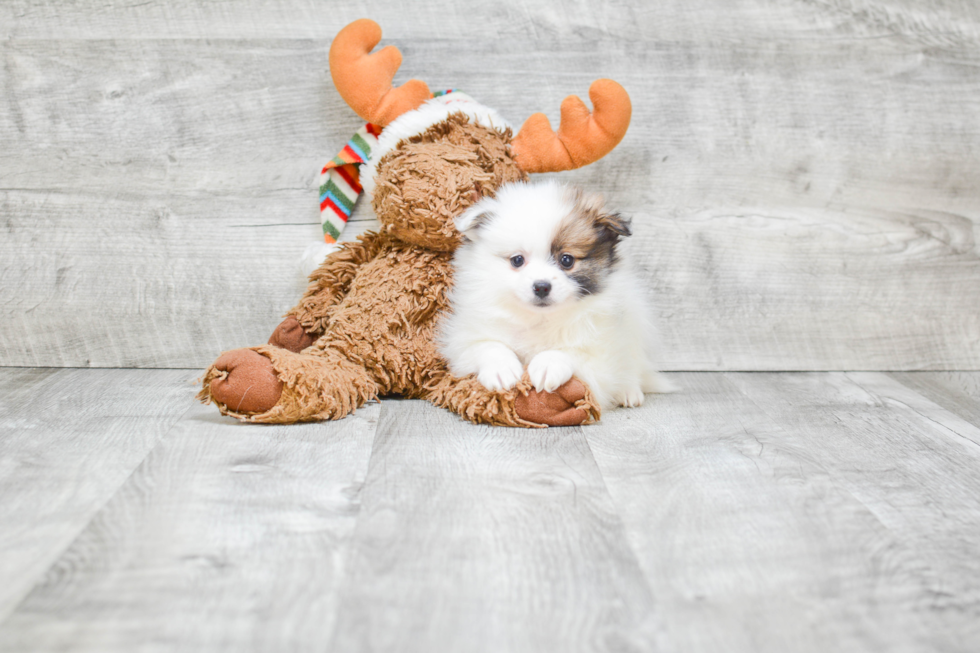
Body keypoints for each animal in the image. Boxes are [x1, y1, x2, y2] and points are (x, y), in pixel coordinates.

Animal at [438, 181, 672, 410]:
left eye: (566, 260)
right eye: (517, 260)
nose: (541, 286)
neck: (540, 318)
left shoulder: (601, 354)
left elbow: (570, 352)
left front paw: (547, 365)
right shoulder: (464, 339)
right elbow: (487, 345)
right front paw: (501, 369)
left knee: (633, 364)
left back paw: (629, 391)